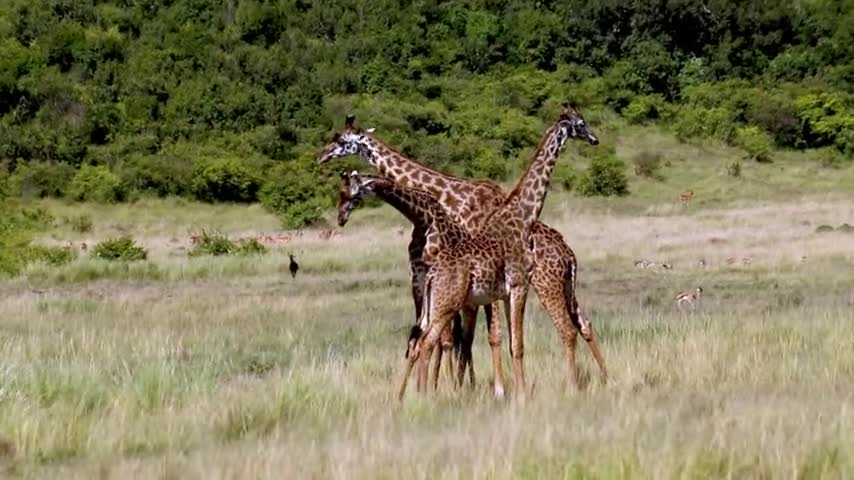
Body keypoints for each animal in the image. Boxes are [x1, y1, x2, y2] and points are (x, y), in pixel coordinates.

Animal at [320, 107, 608, 396]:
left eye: (341, 140)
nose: (321, 155)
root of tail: (568, 253)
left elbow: (480, 337)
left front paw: (483, 389)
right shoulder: (429, 279)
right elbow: (454, 338)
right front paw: (455, 386)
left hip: (545, 284)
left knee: (566, 328)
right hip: (559, 286)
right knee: (583, 324)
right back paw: (603, 379)